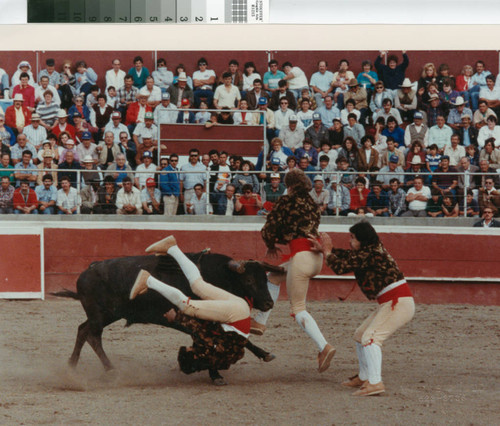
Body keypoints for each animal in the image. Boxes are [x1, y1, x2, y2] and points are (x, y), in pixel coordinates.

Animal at [54, 253, 284, 382]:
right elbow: (218, 343)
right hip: (100, 315)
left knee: (83, 331)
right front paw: (216, 374)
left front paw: (265, 354)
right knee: (92, 335)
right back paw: (107, 369)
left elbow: (240, 339)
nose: (269, 303)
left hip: (108, 315)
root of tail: (89, 269)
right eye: (248, 280)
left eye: (265, 279)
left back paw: (73, 366)